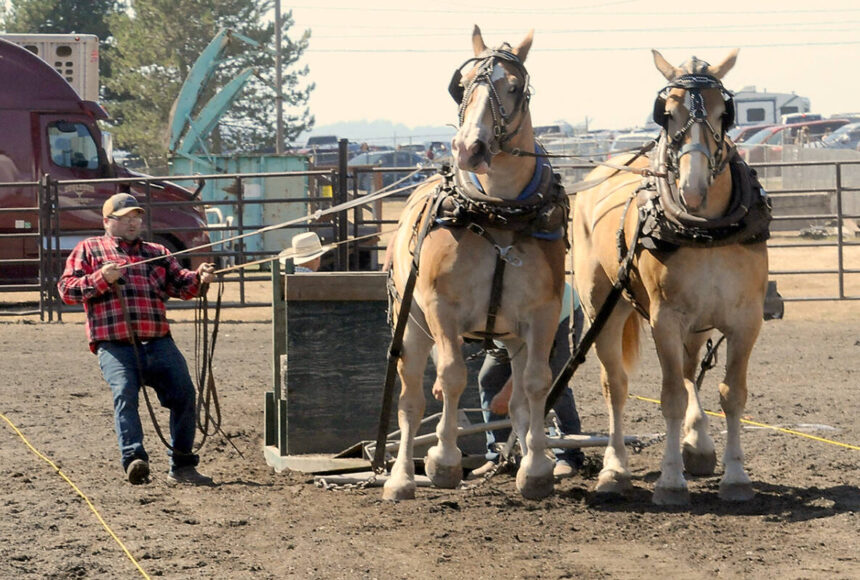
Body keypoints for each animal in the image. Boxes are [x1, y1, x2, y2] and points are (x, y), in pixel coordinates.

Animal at [382, 24, 572, 500]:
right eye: (462, 85)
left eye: (515, 87)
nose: (470, 147)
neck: (497, 212)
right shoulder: (440, 308)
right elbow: (451, 377)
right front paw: (443, 461)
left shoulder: (541, 315)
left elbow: (537, 383)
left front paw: (537, 469)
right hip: (411, 326)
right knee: (410, 399)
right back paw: (401, 478)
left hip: (511, 337)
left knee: (518, 398)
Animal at [576, 49, 768, 502]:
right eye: (666, 113)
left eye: (723, 112)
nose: (693, 189)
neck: (706, 229)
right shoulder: (664, 320)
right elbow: (670, 398)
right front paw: (670, 481)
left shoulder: (746, 320)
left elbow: (732, 394)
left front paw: (736, 476)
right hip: (602, 309)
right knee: (616, 385)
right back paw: (614, 469)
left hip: (698, 322)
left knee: (689, 369)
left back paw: (697, 444)